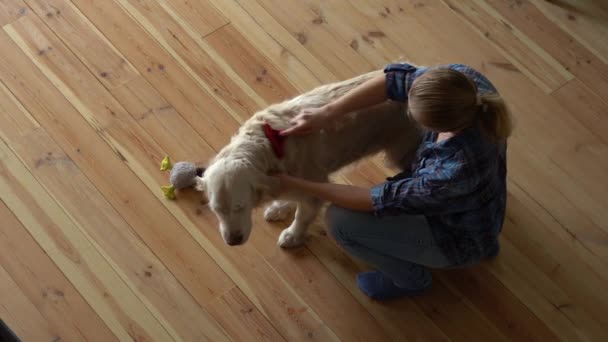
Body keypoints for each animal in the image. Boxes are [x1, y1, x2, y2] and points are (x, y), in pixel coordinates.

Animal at [197, 69, 420, 246]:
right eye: (217, 210)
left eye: (240, 206)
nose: (233, 242)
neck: (270, 146)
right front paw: (279, 207)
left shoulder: (315, 187)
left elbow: (302, 216)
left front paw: (292, 236)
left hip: (400, 151)